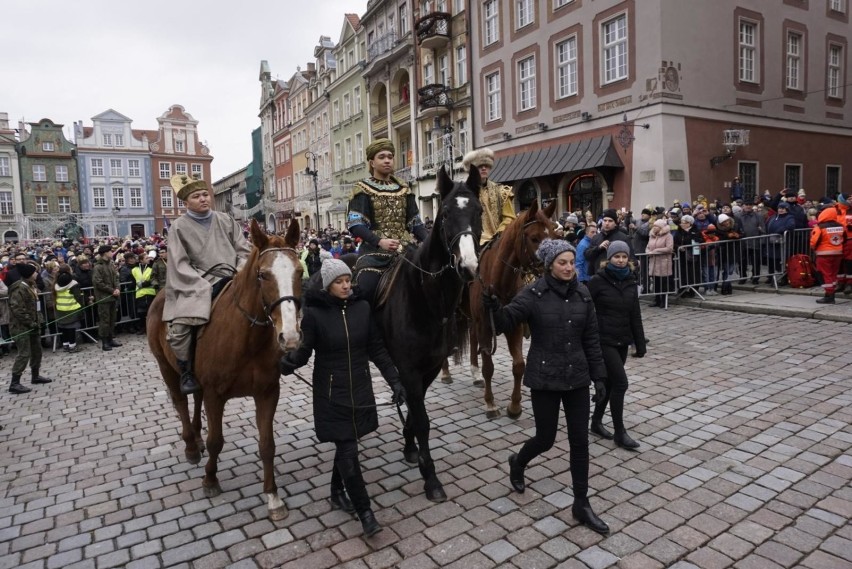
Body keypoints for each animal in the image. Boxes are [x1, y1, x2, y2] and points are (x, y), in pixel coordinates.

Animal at [147, 220, 302, 520]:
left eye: (299, 271)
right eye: (263, 275)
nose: (289, 337)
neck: (247, 339)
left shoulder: (267, 392)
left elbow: (267, 445)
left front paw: (273, 496)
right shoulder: (215, 395)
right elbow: (216, 441)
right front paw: (210, 479)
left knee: (194, 398)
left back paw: (196, 434)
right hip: (165, 367)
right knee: (181, 401)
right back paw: (191, 445)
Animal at [376, 165, 482, 502]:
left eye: (478, 211)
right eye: (445, 213)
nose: (468, 267)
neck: (424, 297)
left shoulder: (431, 366)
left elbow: (416, 407)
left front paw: (411, 447)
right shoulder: (410, 368)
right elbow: (421, 419)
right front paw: (431, 477)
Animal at [470, 200, 556, 418]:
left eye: (553, 235)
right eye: (534, 238)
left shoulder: (514, 325)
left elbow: (519, 365)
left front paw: (515, 406)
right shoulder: (485, 326)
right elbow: (489, 367)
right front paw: (490, 404)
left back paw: (474, 374)